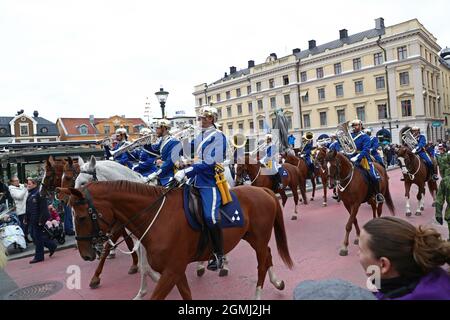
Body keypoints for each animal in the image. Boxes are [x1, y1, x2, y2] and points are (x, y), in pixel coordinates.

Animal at [60, 181, 292, 302]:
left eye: (81, 217)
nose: (85, 254)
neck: (157, 217)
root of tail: (262, 189)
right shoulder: (176, 271)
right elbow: (186, 294)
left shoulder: (172, 271)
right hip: (253, 238)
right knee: (268, 255)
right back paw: (277, 282)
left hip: (258, 238)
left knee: (261, 263)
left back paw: (258, 294)